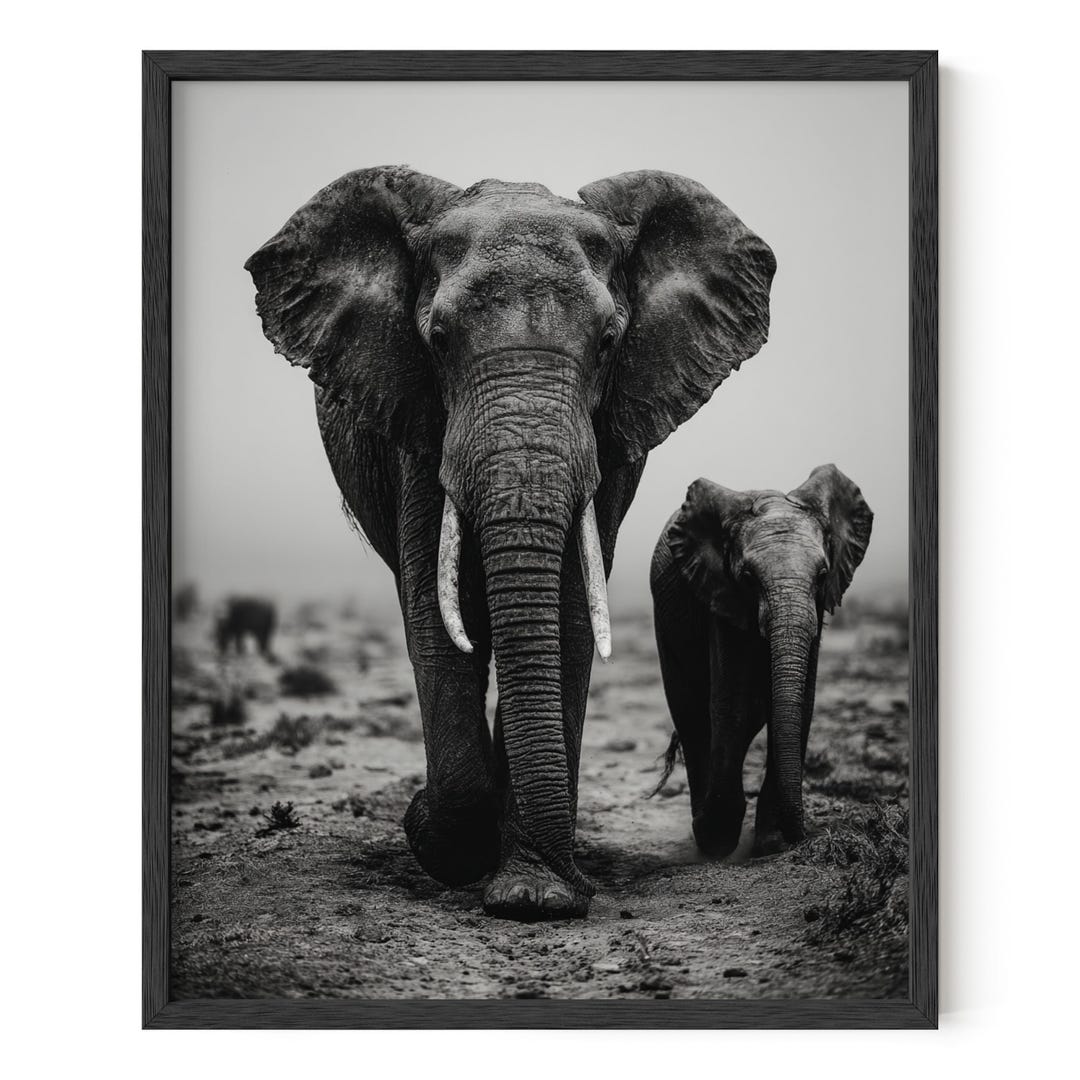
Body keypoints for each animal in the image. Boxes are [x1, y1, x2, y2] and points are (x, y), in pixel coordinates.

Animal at [245, 166, 775, 920]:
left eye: (610, 341)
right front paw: (438, 837)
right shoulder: (417, 420)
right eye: (437, 339)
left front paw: (536, 897)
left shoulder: (610, 439)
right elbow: (432, 610)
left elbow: (572, 609)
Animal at [650, 465, 872, 858]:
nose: (803, 836)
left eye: (821, 575)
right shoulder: (720, 595)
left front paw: (771, 844)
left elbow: (802, 703)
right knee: (692, 716)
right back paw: (705, 835)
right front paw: (719, 842)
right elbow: (732, 706)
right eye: (748, 578)